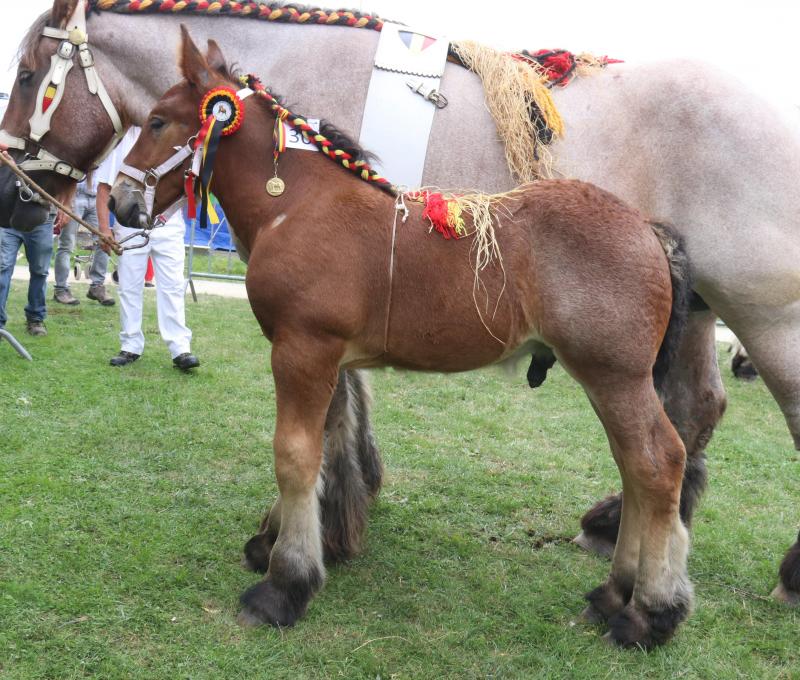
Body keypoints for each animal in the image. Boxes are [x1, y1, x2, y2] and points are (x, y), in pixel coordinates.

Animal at [111, 29, 692, 648]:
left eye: (156, 121)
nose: (120, 202)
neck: (295, 204)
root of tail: (650, 231)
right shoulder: (326, 358)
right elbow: (325, 449)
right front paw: (281, 545)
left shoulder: (301, 351)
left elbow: (294, 455)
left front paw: (283, 585)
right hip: (610, 380)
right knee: (634, 467)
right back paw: (615, 594)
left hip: (616, 376)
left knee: (657, 465)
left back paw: (649, 610)